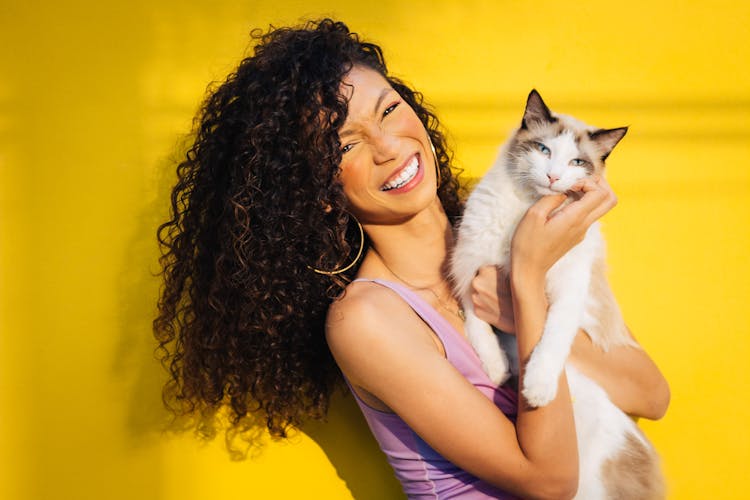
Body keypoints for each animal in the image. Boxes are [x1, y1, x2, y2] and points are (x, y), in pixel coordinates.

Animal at [452, 91, 664, 500]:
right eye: (544, 149)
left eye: (577, 162)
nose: (553, 176)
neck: (527, 213)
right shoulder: (470, 273)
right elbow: (479, 327)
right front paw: (497, 367)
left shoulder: (568, 294)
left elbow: (551, 339)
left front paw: (537, 389)